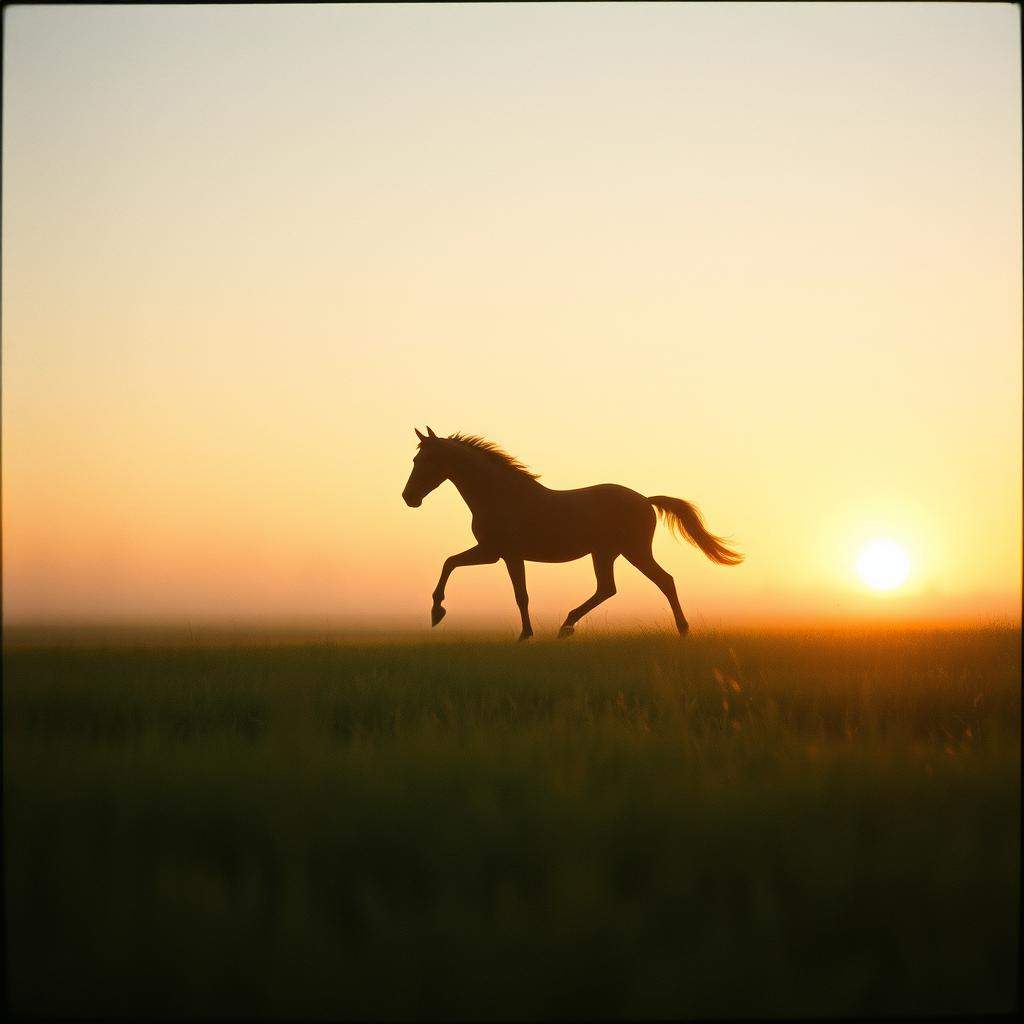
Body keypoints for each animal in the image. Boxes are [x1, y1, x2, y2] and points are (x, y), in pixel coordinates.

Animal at [401, 427, 743, 640]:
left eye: (424, 459)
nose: (409, 497)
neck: (500, 495)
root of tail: (646, 500)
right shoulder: (498, 554)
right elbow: (459, 566)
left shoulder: (499, 553)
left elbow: (511, 590)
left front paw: (438, 612)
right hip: (608, 553)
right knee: (610, 588)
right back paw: (567, 626)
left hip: (630, 551)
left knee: (660, 581)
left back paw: (681, 629)